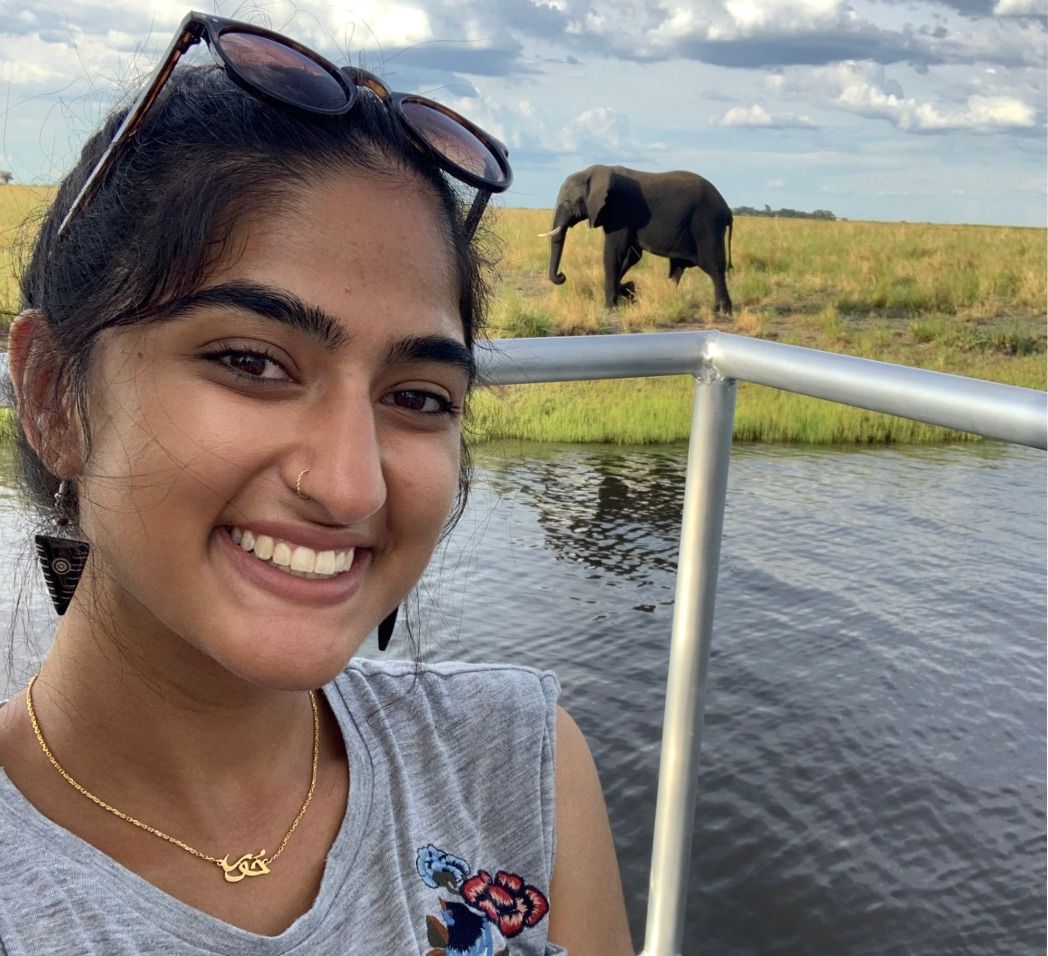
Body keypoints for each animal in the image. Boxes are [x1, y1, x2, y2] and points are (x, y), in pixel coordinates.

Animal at [544, 166, 733, 312]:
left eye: (569, 201)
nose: (561, 275)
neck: (593, 172)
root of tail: (727, 210)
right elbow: (631, 255)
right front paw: (626, 292)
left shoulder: (619, 211)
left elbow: (614, 253)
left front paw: (608, 306)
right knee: (677, 266)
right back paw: (668, 300)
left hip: (707, 223)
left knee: (714, 265)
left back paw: (721, 310)